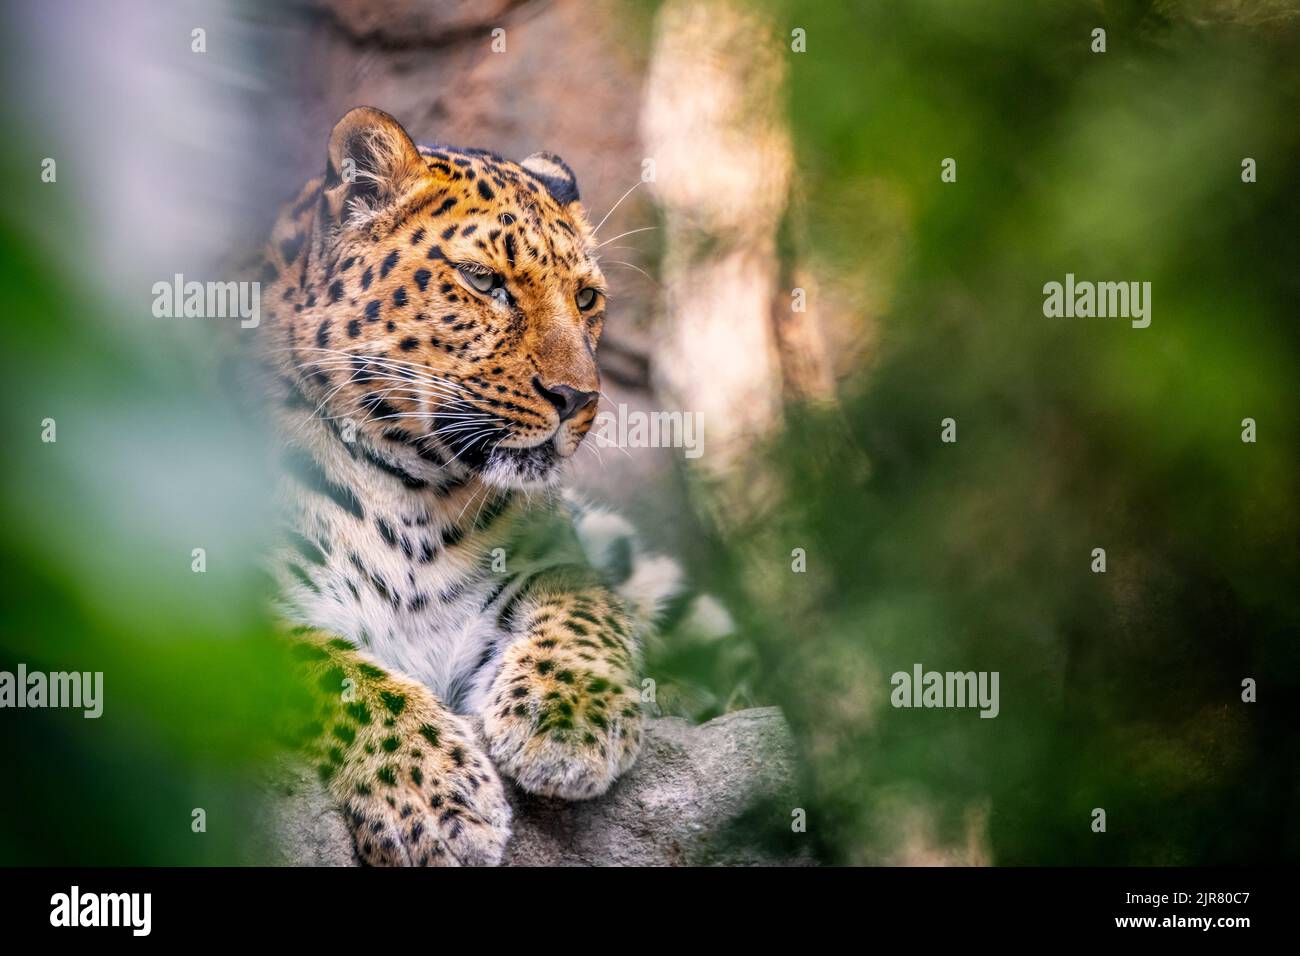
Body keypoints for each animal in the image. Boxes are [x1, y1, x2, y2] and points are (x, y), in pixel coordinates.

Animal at [250, 106, 681, 868]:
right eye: (485, 282)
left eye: (587, 298)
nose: (578, 398)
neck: (411, 488)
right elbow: (335, 672)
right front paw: (434, 799)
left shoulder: (552, 558)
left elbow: (585, 604)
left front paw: (567, 721)